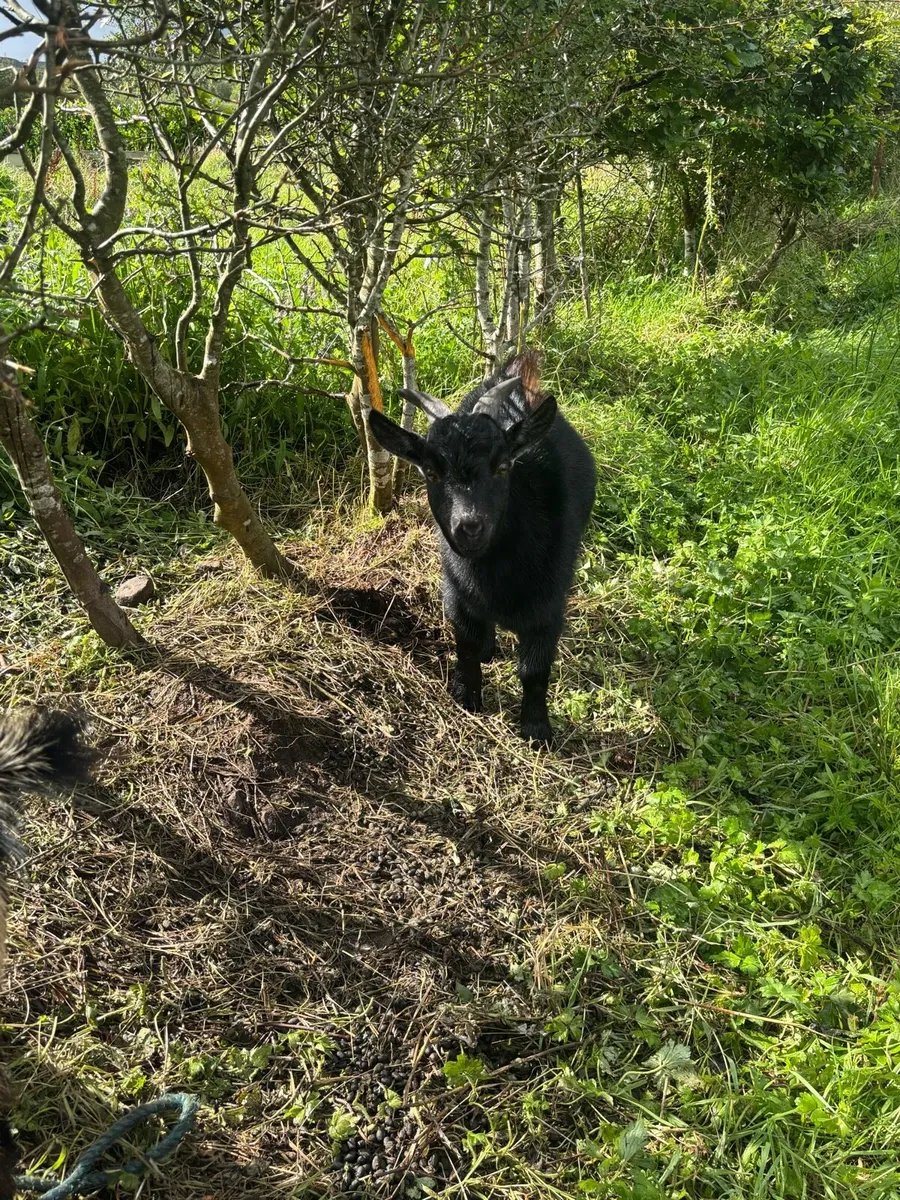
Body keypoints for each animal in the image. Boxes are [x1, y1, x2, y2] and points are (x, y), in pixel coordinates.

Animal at [368, 352, 596, 745]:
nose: (470, 526)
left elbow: (534, 670)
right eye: (431, 472)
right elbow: (467, 644)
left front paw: (536, 729)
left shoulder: (549, 608)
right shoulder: (456, 591)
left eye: (503, 466)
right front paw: (466, 696)